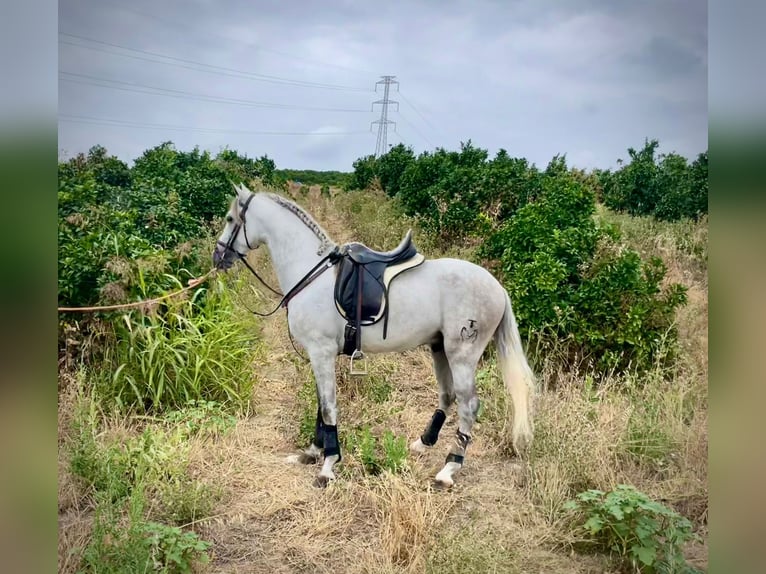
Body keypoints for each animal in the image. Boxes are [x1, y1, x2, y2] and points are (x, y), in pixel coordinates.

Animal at [213, 186, 536, 490]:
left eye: (230, 219)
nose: (218, 257)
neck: (312, 274)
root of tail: (498, 287)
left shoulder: (321, 352)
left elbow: (328, 407)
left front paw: (328, 466)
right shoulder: (320, 356)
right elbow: (320, 404)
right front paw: (313, 452)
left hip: (462, 355)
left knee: (468, 406)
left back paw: (448, 470)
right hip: (439, 348)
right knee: (448, 395)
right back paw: (423, 443)